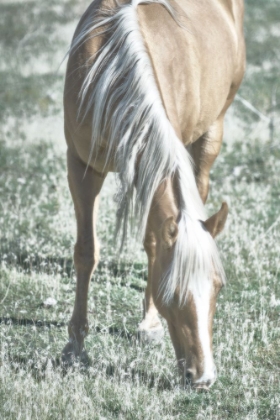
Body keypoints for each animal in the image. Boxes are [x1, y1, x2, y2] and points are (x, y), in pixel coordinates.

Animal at [63, 0, 245, 388]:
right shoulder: (82, 168)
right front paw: (74, 346)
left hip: (212, 131)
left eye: (219, 286)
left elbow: (151, 245)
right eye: (172, 291)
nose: (204, 377)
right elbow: (86, 251)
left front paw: (148, 324)